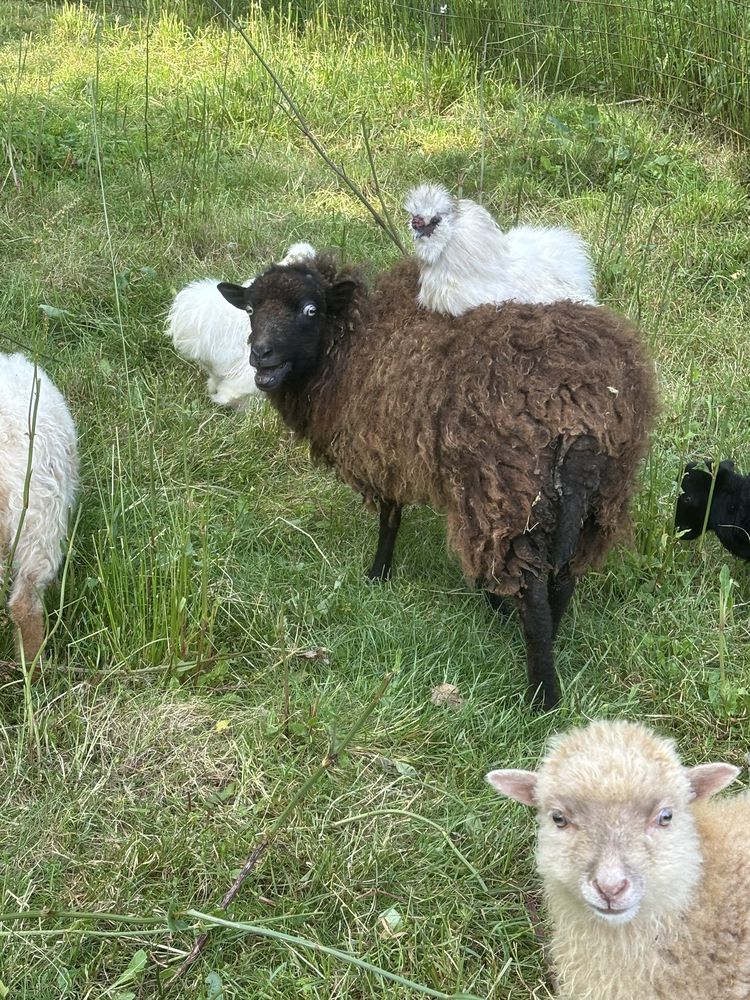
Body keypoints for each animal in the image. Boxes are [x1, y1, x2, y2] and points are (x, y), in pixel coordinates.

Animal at [216, 254, 656, 709]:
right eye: (250, 309)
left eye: (309, 310)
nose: (260, 354)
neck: (353, 344)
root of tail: (579, 405)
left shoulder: (383, 449)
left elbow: (390, 517)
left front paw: (377, 575)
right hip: (601, 492)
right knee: (567, 572)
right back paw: (548, 634)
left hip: (508, 487)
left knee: (530, 586)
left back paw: (541, 696)